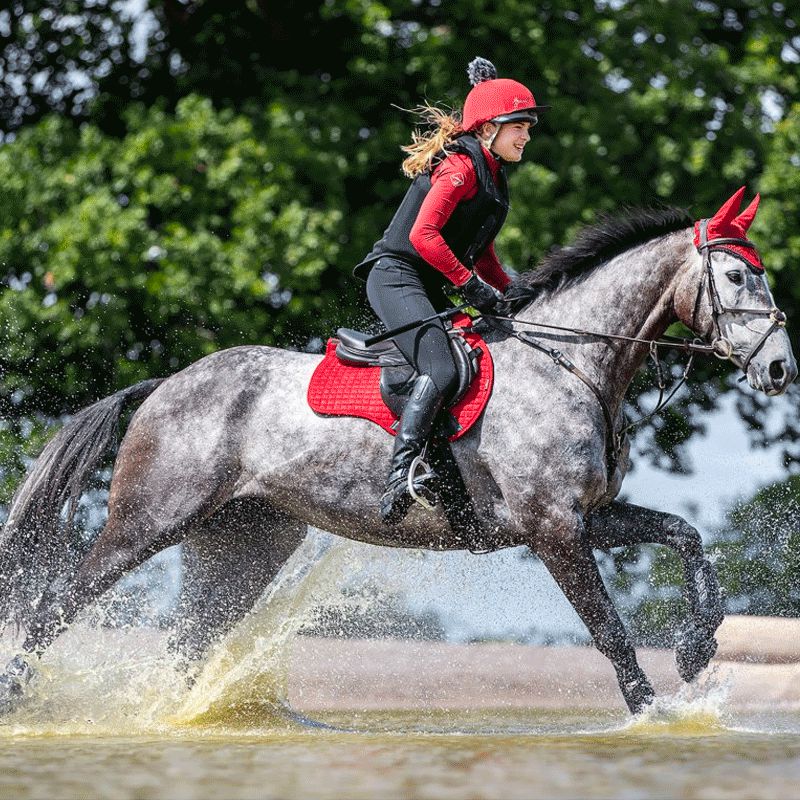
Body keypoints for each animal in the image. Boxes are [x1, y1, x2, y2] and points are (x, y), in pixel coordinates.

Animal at [0, 191, 792, 716]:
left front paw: (697, 649)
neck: (572, 363)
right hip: (147, 522)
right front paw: (650, 715)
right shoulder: (554, 530)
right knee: (56, 604)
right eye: (736, 277)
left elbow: (686, 537)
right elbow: (611, 633)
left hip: (244, 542)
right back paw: (20, 696)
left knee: (187, 642)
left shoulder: (584, 517)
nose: (780, 369)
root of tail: (166, 385)